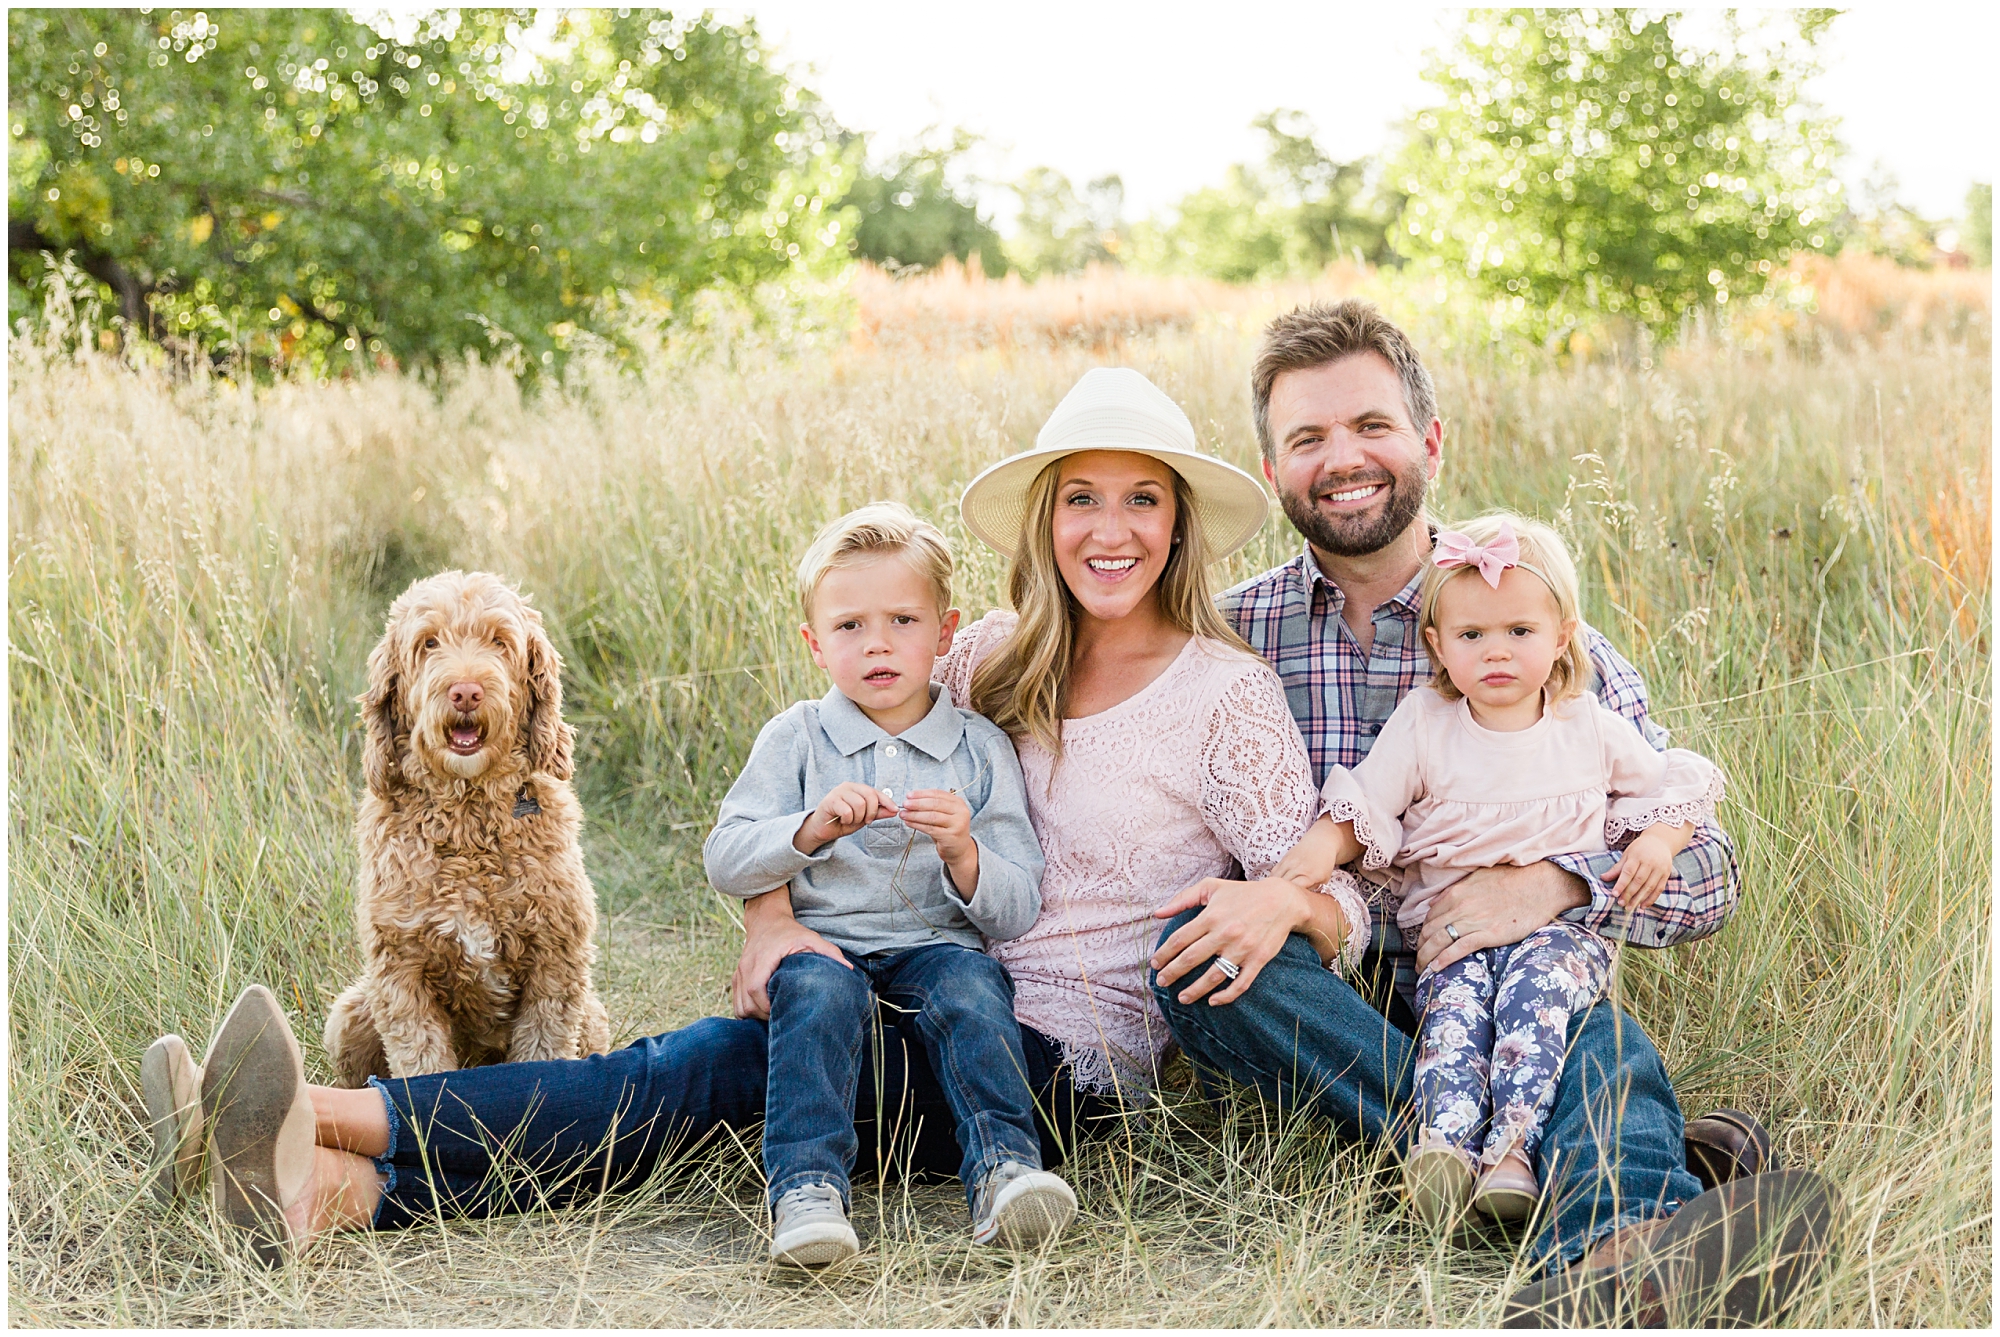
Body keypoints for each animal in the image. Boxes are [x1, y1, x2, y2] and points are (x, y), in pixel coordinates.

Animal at [324, 568, 608, 1088]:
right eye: (429, 643)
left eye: (499, 642)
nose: (466, 692)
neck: (468, 817)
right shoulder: (400, 971)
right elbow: (420, 1062)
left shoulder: (556, 962)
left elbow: (543, 1052)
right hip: (351, 1013)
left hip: (592, 1017)